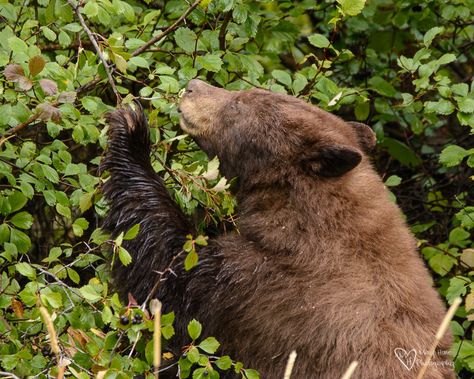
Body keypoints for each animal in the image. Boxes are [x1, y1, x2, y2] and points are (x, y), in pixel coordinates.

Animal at [101, 80, 456, 379]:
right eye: (249, 90)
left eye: (239, 103)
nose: (192, 86)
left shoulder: (266, 290)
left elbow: (169, 274)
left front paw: (131, 131)